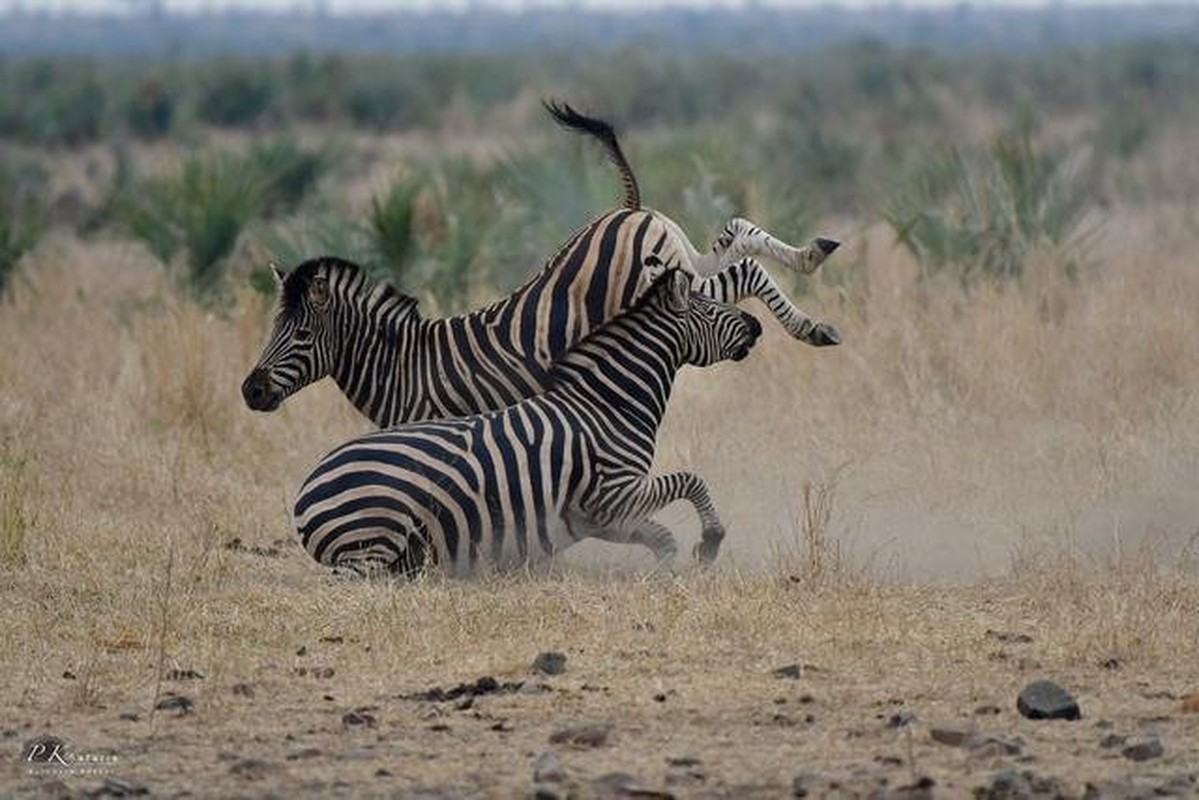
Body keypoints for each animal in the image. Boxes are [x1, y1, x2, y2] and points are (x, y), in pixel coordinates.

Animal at [240, 103, 844, 429]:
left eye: (298, 335)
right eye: (272, 328)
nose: (250, 392)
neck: (402, 364)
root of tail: (625, 210)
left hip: (670, 280)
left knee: (743, 272)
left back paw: (810, 321)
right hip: (681, 256)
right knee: (738, 233)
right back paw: (813, 261)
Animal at [292, 268, 757, 575]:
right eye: (710, 308)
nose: (755, 324)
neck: (608, 403)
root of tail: (305, 488)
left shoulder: (598, 516)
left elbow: (662, 537)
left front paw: (669, 569)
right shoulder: (612, 493)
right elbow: (691, 480)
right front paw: (710, 543)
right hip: (376, 532)